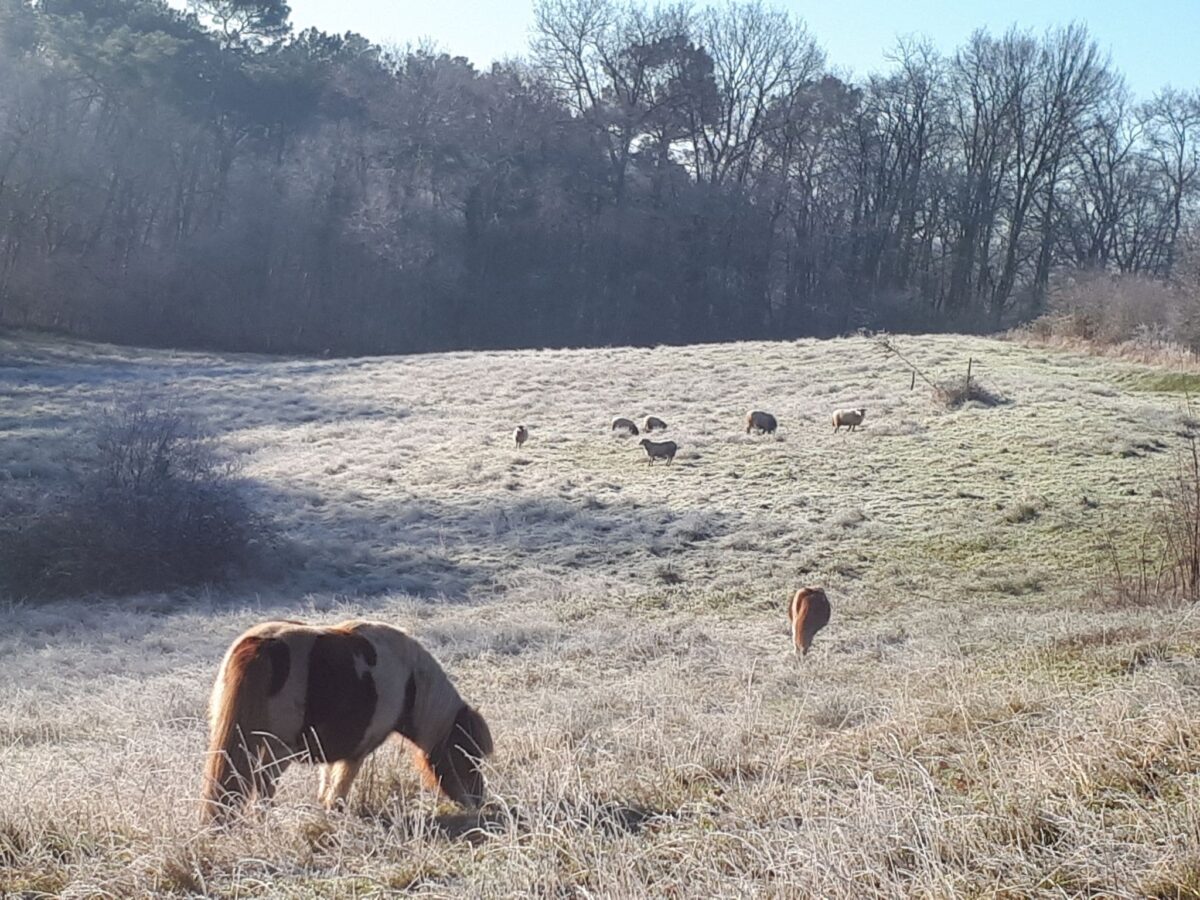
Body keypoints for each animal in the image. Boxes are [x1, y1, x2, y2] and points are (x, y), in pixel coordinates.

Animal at [201, 619, 492, 825]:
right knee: (262, 789)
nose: (478, 800)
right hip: (275, 751)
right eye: (465, 754)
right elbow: (339, 787)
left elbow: (327, 780)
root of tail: (258, 646)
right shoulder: (357, 753)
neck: (408, 682)